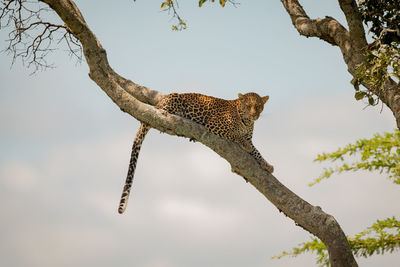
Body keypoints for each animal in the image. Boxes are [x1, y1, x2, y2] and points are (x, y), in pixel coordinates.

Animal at [118, 93, 276, 215]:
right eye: (248, 105)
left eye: (258, 106)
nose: (254, 114)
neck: (247, 122)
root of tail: (159, 102)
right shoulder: (214, 124)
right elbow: (236, 135)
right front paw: (245, 145)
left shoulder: (250, 138)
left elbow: (257, 151)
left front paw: (267, 165)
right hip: (173, 101)